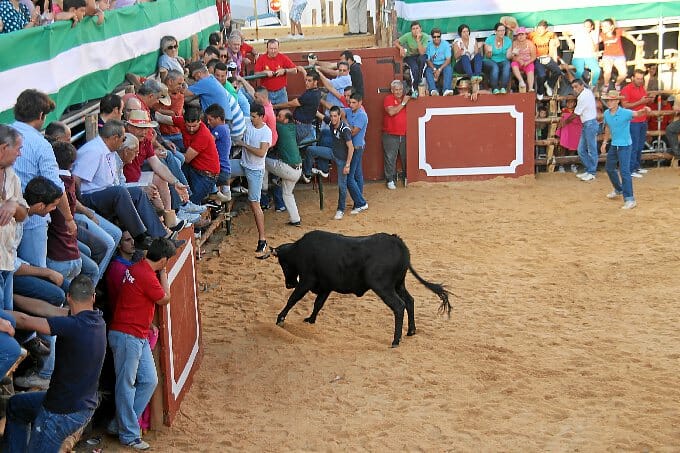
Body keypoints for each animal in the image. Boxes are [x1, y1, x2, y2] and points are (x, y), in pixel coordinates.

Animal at [270, 230, 452, 346]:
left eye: (283, 264)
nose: (289, 284)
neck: (298, 251)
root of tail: (397, 241)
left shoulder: (306, 281)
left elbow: (293, 299)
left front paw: (280, 319)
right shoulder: (326, 286)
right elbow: (318, 304)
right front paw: (310, 320)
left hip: (383, 286)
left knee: (399, 306)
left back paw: (395, 340)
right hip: (398, 284)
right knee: (409, 301)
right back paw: (411, 331)